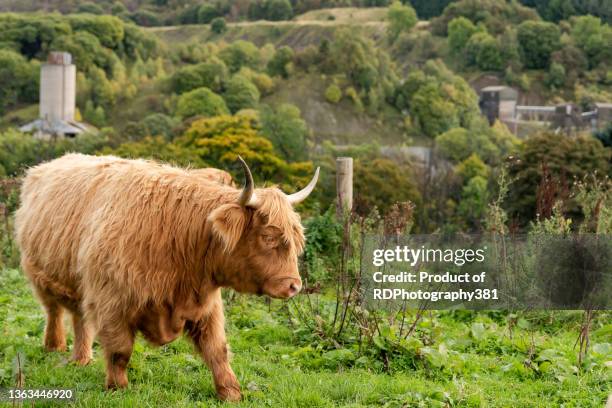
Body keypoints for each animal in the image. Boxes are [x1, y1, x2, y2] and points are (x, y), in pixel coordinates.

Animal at [14, 154, 320, 402]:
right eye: (268, 237)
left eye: (296, 239)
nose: (294, 286)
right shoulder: (111, 301)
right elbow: (120, 350)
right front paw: (118, 388)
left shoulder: (206, 304)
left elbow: (217, 350)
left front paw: (231, 392)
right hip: (38, 272)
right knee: (54, 311)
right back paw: (54, 346)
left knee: (80, 319)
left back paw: (81, 359)